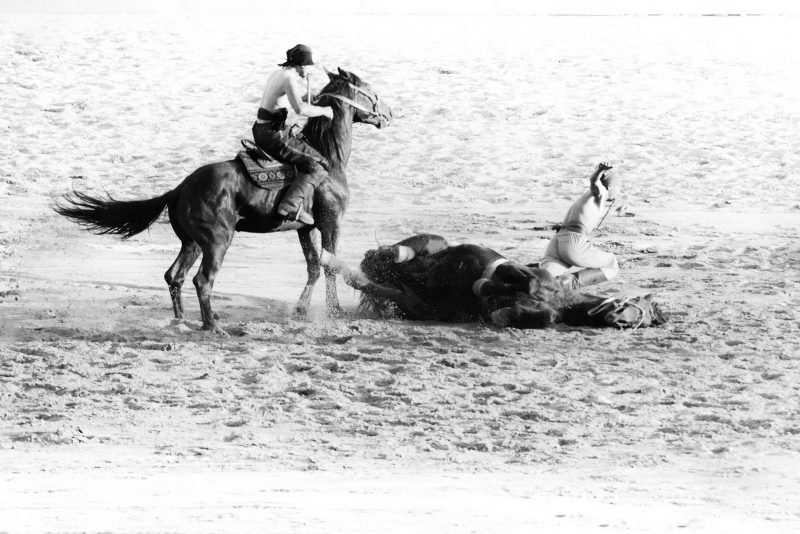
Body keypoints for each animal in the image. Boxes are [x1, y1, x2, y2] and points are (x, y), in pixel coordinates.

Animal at [54, 68, 393, 336]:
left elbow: (313, 266)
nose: (388, 114)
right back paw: (213, 327)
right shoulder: (331, 222)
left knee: (174, 276)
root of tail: (179, 188)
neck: (328, 158)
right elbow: (330, 265)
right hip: (217, 242)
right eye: (369, 89)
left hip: (191, 243)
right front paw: (335, 312)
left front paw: (301, 309)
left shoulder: (304, 228)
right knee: (202, 281)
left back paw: (183, 322)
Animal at [319, 233, 666, 329]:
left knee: (368, 280)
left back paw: (334, 261)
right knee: (390, 254)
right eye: (643, 306)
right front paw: (487, 286)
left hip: (413, 302)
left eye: (645, 318)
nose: (620, 320)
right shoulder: (529, 273)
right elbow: (522, 278)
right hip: (436, 247)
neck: (562, 300)